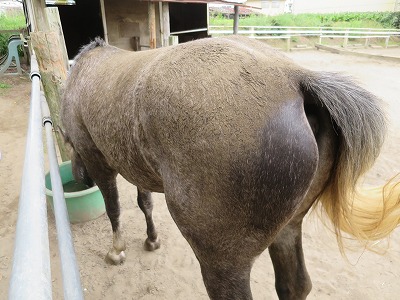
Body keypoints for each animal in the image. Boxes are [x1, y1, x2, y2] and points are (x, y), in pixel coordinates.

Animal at [60, 37, 400, 300]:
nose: (79, 178)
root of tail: (297, 79)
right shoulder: (133, 166)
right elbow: (144, 203)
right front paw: (151, 239)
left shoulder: (98, 160)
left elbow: (113, 208)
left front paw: (116, 250)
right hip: (289, 229)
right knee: (295, 285)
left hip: (223, 262)